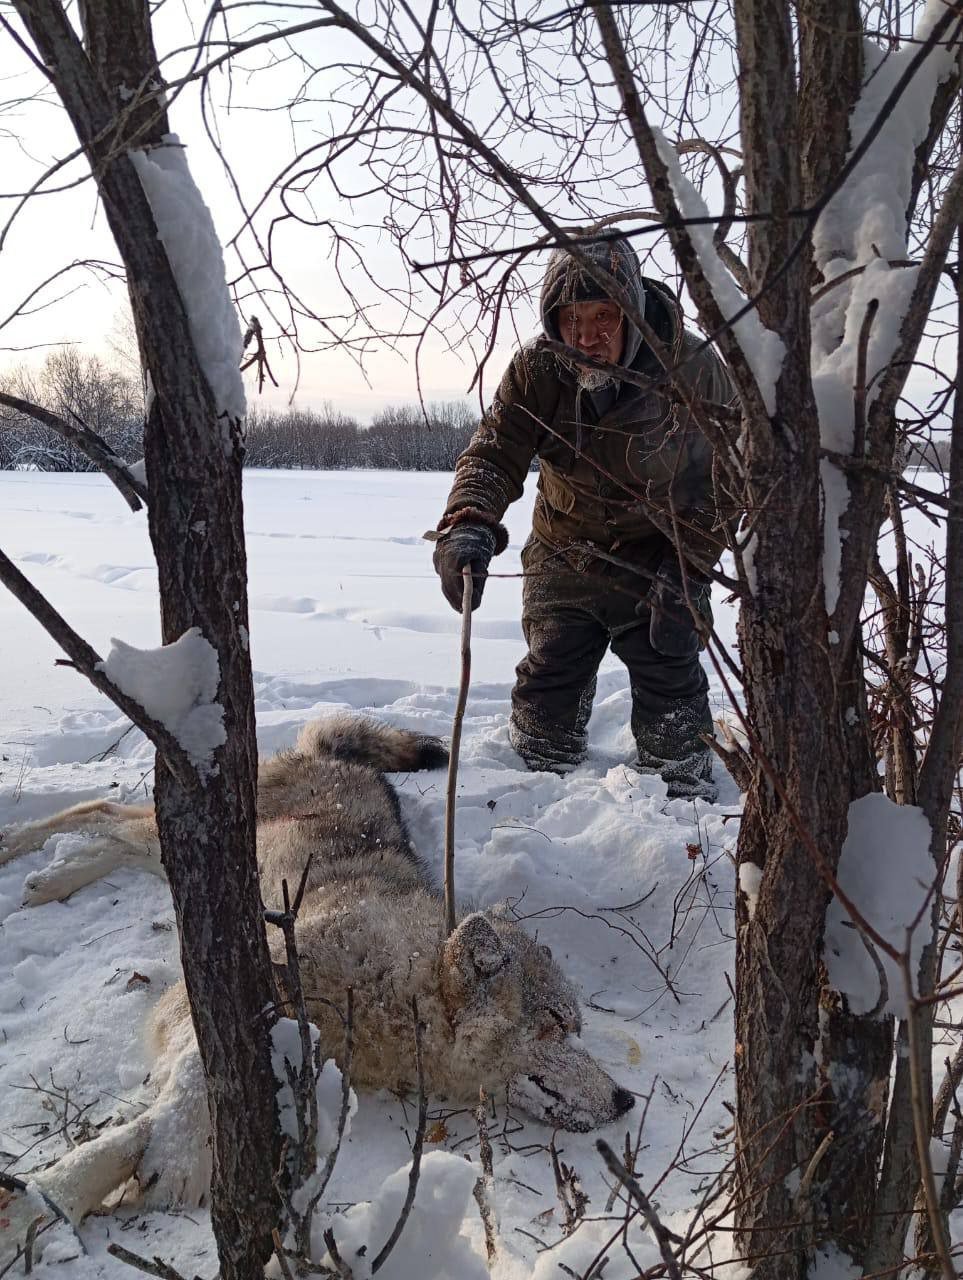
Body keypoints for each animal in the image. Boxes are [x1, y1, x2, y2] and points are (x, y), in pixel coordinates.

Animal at [0, 716, 635, 1223]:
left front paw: (56, 1200)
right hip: (187, 839)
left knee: (111, 836)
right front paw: (163, 1160)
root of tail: (329, 754)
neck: (398, 987)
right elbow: (188, 1081)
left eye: (579, 1027)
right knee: (98, 810)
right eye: (557, 1022)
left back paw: (49, 880)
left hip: (178, 861)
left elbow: (140, 1130)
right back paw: (17, 849)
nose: (626, 1099)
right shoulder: (246, 975)